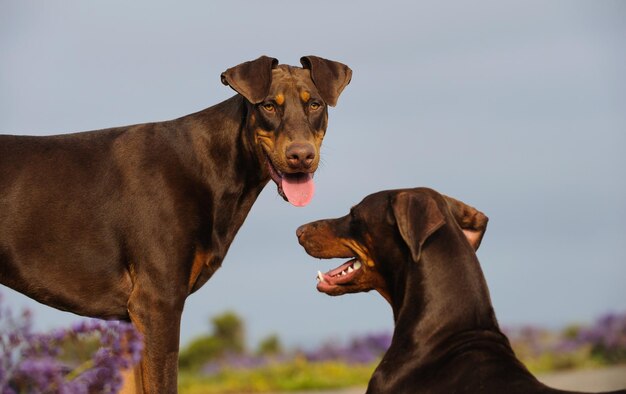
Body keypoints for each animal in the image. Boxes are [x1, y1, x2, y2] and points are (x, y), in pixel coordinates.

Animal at [0, 54, 352, 390]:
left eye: (315, 104)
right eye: (268, 105)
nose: (301, 156)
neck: (213, 164)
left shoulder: (131, 319)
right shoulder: (157, 302)